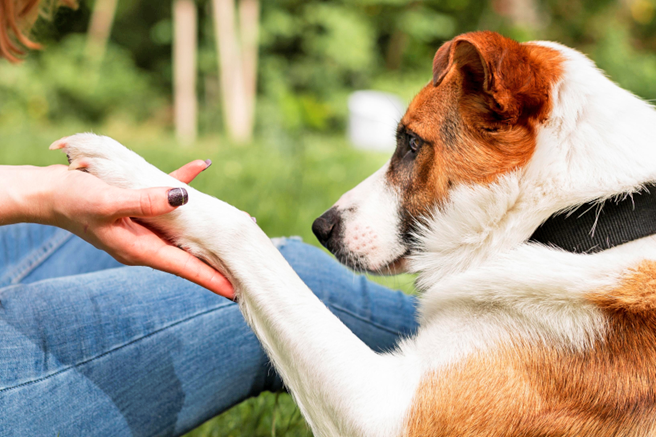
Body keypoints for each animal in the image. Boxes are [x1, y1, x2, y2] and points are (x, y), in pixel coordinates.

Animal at [52, 31, 656, 436]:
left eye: (410, 143)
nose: (321, 229)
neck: (577, 216)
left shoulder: (383, 413)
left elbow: (242, 229)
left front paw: (132, 172)